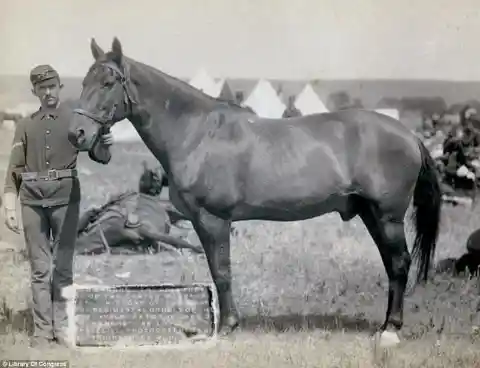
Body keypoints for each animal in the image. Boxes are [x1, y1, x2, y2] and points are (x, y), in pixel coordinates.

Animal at [68, 36, 442, 346]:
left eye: (107, 83)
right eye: (83, 82)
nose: (77, 134)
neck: (196, 133)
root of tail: (409, 135)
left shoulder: (213, 219)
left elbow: (222, 272)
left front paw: (227, 326)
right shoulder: (202, 222)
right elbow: (216, 269)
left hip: (388, 216)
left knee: (399, 263)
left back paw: (391, 329)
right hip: (370, 214)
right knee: (391, 264)